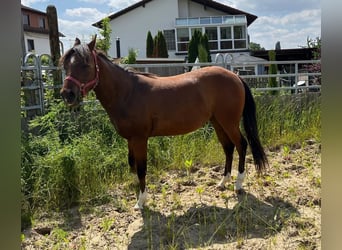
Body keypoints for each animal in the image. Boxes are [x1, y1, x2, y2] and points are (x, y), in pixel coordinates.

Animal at [59, 36, 268, 210]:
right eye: (65, 65)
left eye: (85, 64)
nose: (67, 94)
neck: (127, 93)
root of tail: (236, 77)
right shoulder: (130, 140)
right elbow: (132, 165)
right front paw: (136, 192)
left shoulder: (140, 139)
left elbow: (141, 168)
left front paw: (141, 202)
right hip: (218, 122)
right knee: (228, 148)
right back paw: (222, 182)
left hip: (229, 122)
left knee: (241, 145)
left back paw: (238, 184)